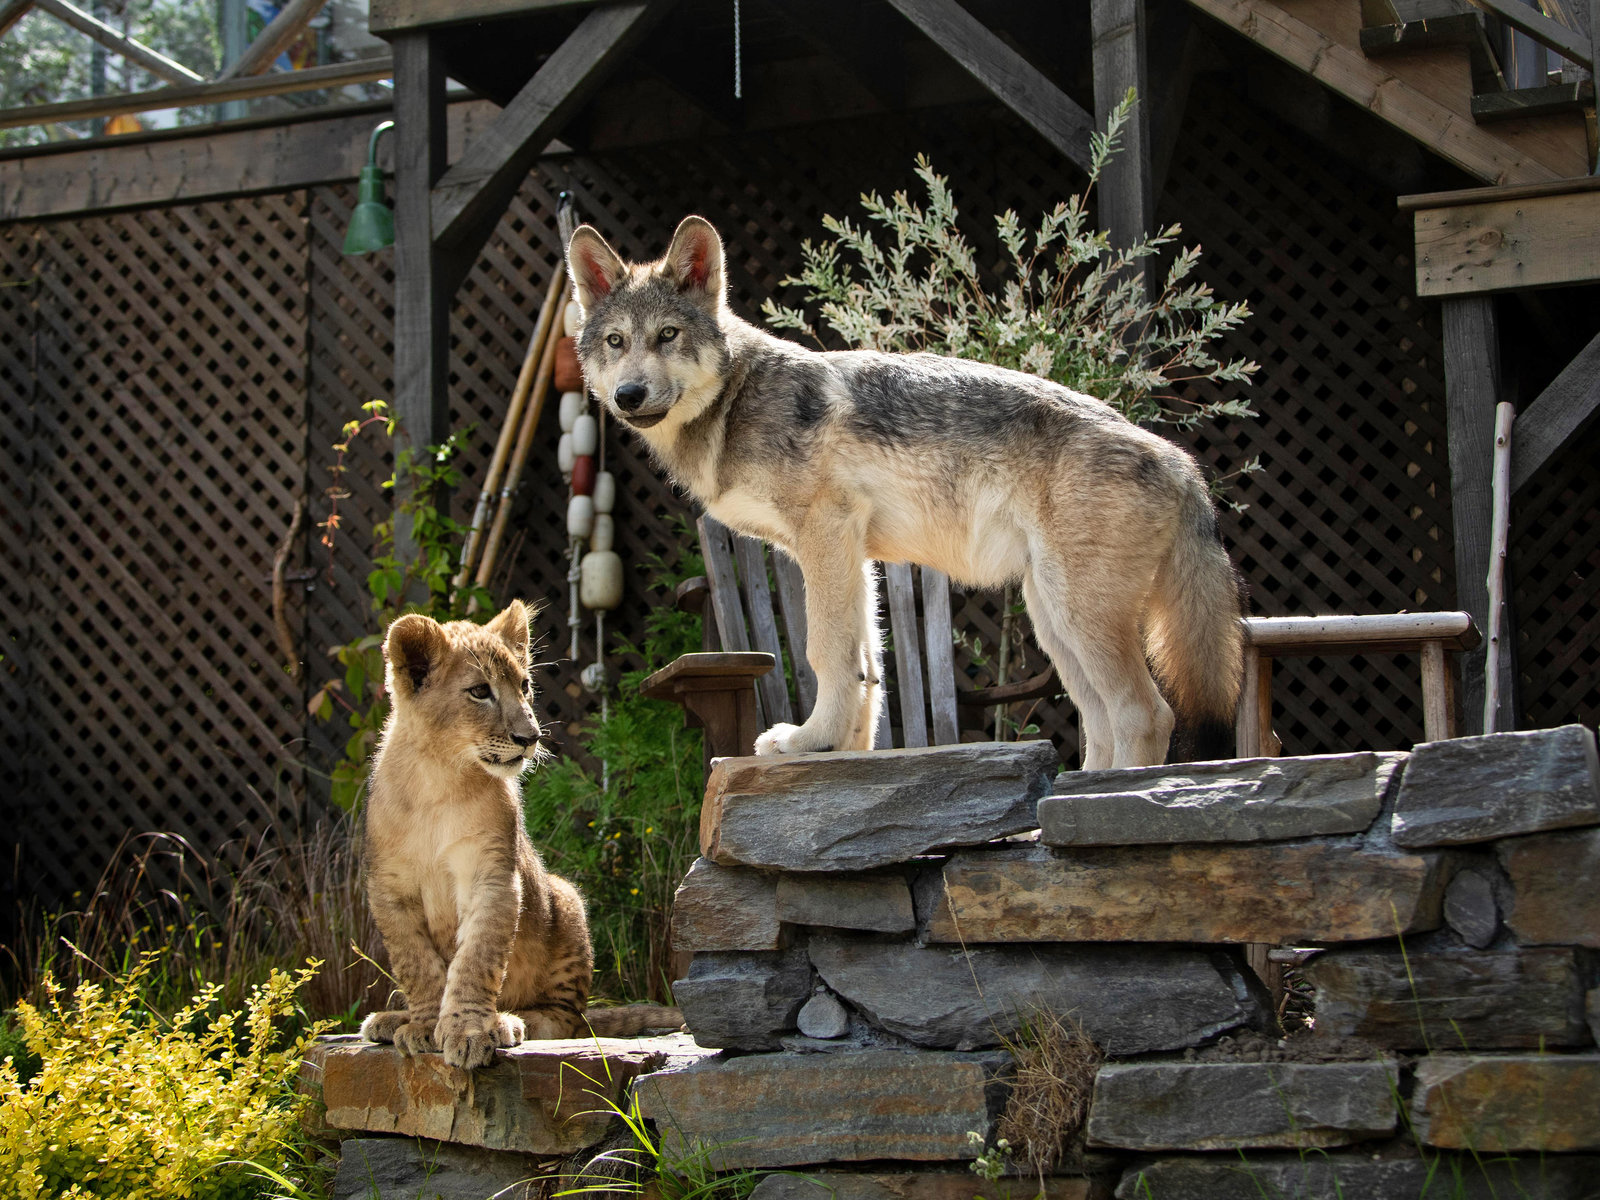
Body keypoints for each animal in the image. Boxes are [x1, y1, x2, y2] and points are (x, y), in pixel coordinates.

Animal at [360, 601, 678, 1068]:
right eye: (479, 691)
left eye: (524, 686)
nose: (531, 737)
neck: (439, 774)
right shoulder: (390, 886)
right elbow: (417, 964)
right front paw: (423, 1024)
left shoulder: (492, 873)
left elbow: (476, 958)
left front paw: (469, 1029)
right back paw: (390, 1019)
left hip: (565, 899)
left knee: (565, 1020)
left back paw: (512, 1020)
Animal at [569, 216, 1241, 771]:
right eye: (615, 342)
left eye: (667, 335)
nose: (628, 395)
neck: (736, 401)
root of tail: (1183, 463)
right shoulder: (853, 554)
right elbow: (867, 667)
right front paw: (846, 754)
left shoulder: (826, 534)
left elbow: (826, 653)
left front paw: (809, 742)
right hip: (1054, 619)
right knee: (1099, 720)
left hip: (1078, 615)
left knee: (1146, 715)